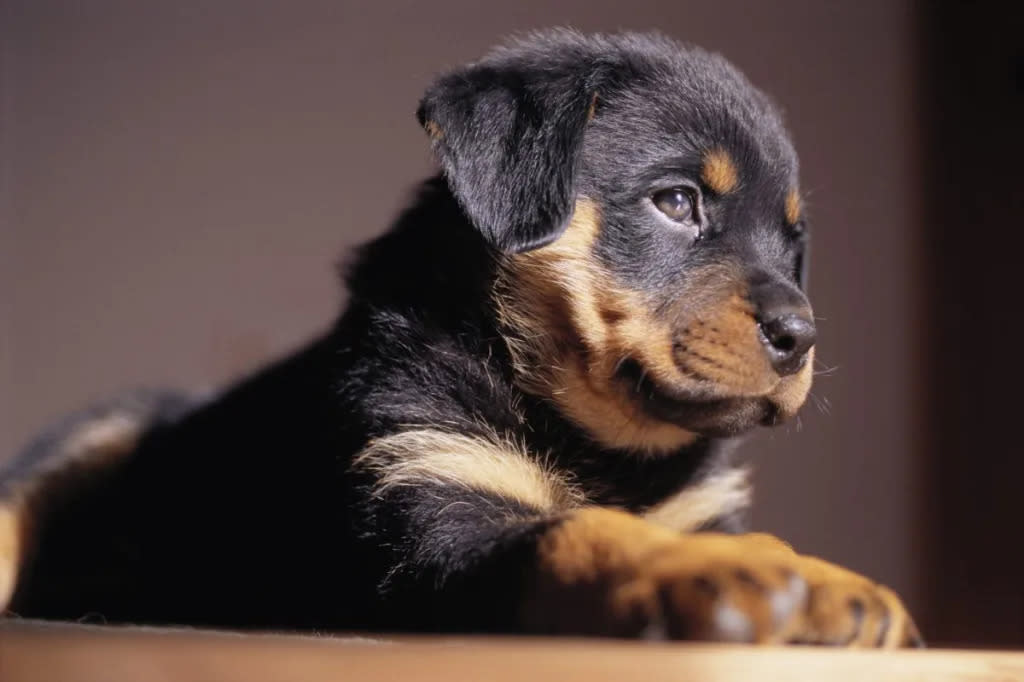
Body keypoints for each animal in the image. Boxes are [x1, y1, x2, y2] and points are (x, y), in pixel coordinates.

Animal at [0, 29, 921, 647]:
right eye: (677, 202)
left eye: (793, 244)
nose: (801, 336)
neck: (592, 440)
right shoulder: (434, 515)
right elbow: (584, 533)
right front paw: (704, 571)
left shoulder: (698, 507)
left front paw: (836, 585)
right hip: (106, 428)